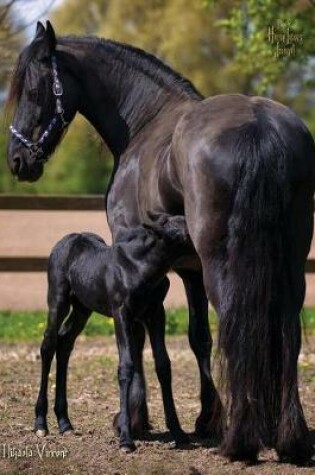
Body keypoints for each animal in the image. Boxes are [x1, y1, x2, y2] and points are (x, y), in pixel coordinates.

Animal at [34, 216, 193, 454]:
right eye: (186, 232)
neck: (141, 268)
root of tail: (66, 240)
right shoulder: (121, 313)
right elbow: (126, 366)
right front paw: (126, 439)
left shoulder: (156, 312)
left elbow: (163, 365)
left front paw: (179, 432)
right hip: (58, 299)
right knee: (49, 345)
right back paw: (41, 423)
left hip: (82, 308)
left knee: (65, 343)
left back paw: (65, 422)